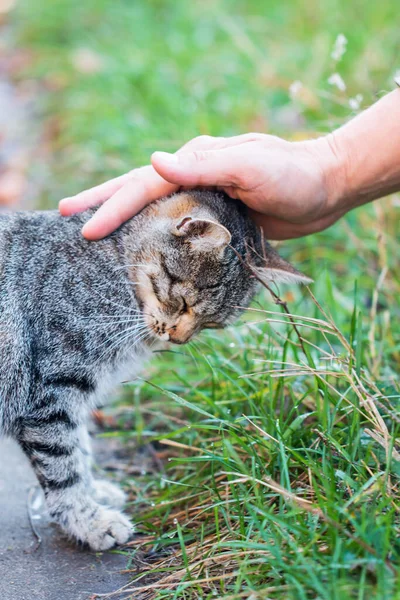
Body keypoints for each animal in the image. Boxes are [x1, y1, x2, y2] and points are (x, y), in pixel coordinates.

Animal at [0, 190, 310, 552]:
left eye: (213, 323)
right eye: (186, 303)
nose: (178, 339)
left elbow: (81, 448)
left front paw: (94, 492)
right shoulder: (51, 393)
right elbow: (64, 465)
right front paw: (89, 521)